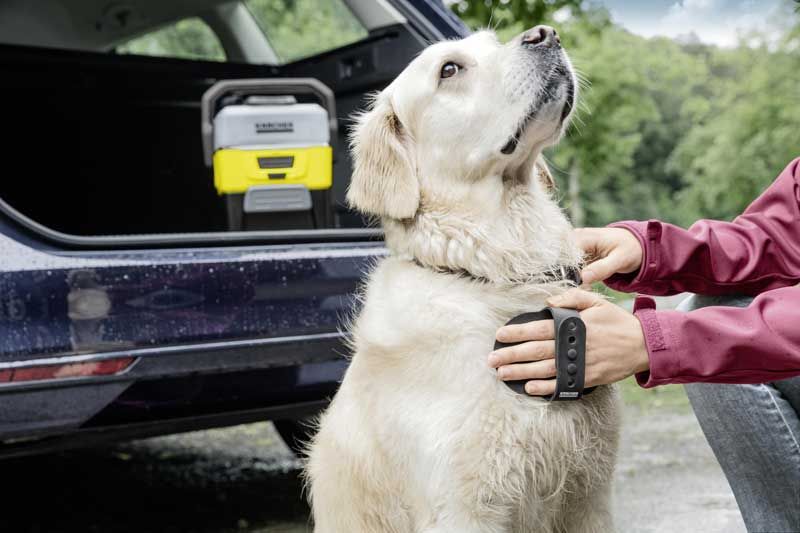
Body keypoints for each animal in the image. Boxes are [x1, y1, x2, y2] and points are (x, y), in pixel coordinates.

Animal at [306, 25, 620, 532]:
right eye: (449, 69)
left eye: (494, 44)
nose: (546, 34)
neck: (500, 273)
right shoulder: (464, 508)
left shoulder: (590, 495)